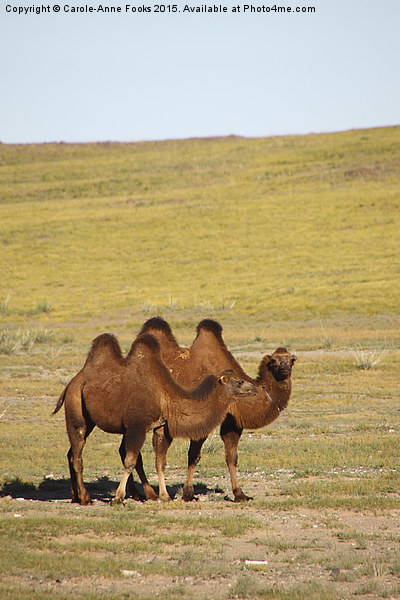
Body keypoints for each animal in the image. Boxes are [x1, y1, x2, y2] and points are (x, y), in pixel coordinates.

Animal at [52, 330, 256, 504]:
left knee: (71, 452)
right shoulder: (137, 426)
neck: (166, 397)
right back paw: (86, 498)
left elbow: (160, 462)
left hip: (89, 419)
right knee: (77, 453)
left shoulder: (161, 427)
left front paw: (164, 496)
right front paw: (118, 498)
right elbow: (130, 461)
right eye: (239, 382)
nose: (254, 389)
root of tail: (72, 382)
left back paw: (76, 497)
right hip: (76, 409)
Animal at [138, 316, 296, 504]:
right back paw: (146, 493)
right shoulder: (201, 420)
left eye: (292, 360)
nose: (285, 368)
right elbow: (194, 456)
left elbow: (231, 457)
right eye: (273, 361)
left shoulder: (232, 422)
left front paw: (240, 494)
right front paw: (188, 494)